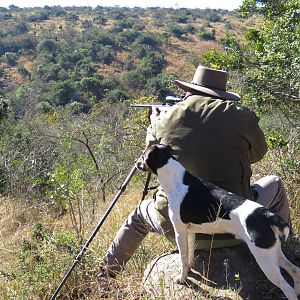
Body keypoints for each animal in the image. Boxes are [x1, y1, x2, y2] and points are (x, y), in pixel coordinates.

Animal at [137, 144, 300, 300]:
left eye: (143, 155)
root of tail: (267, 214)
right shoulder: (190, 231)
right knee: (295, 270)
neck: (175, 178)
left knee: (288, 289)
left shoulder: (180, 232)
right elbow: (189, 255)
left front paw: (183, 279)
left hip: (265, 259)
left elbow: (183, 258)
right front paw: (190, 270)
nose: (136, 163)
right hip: (272, 251)